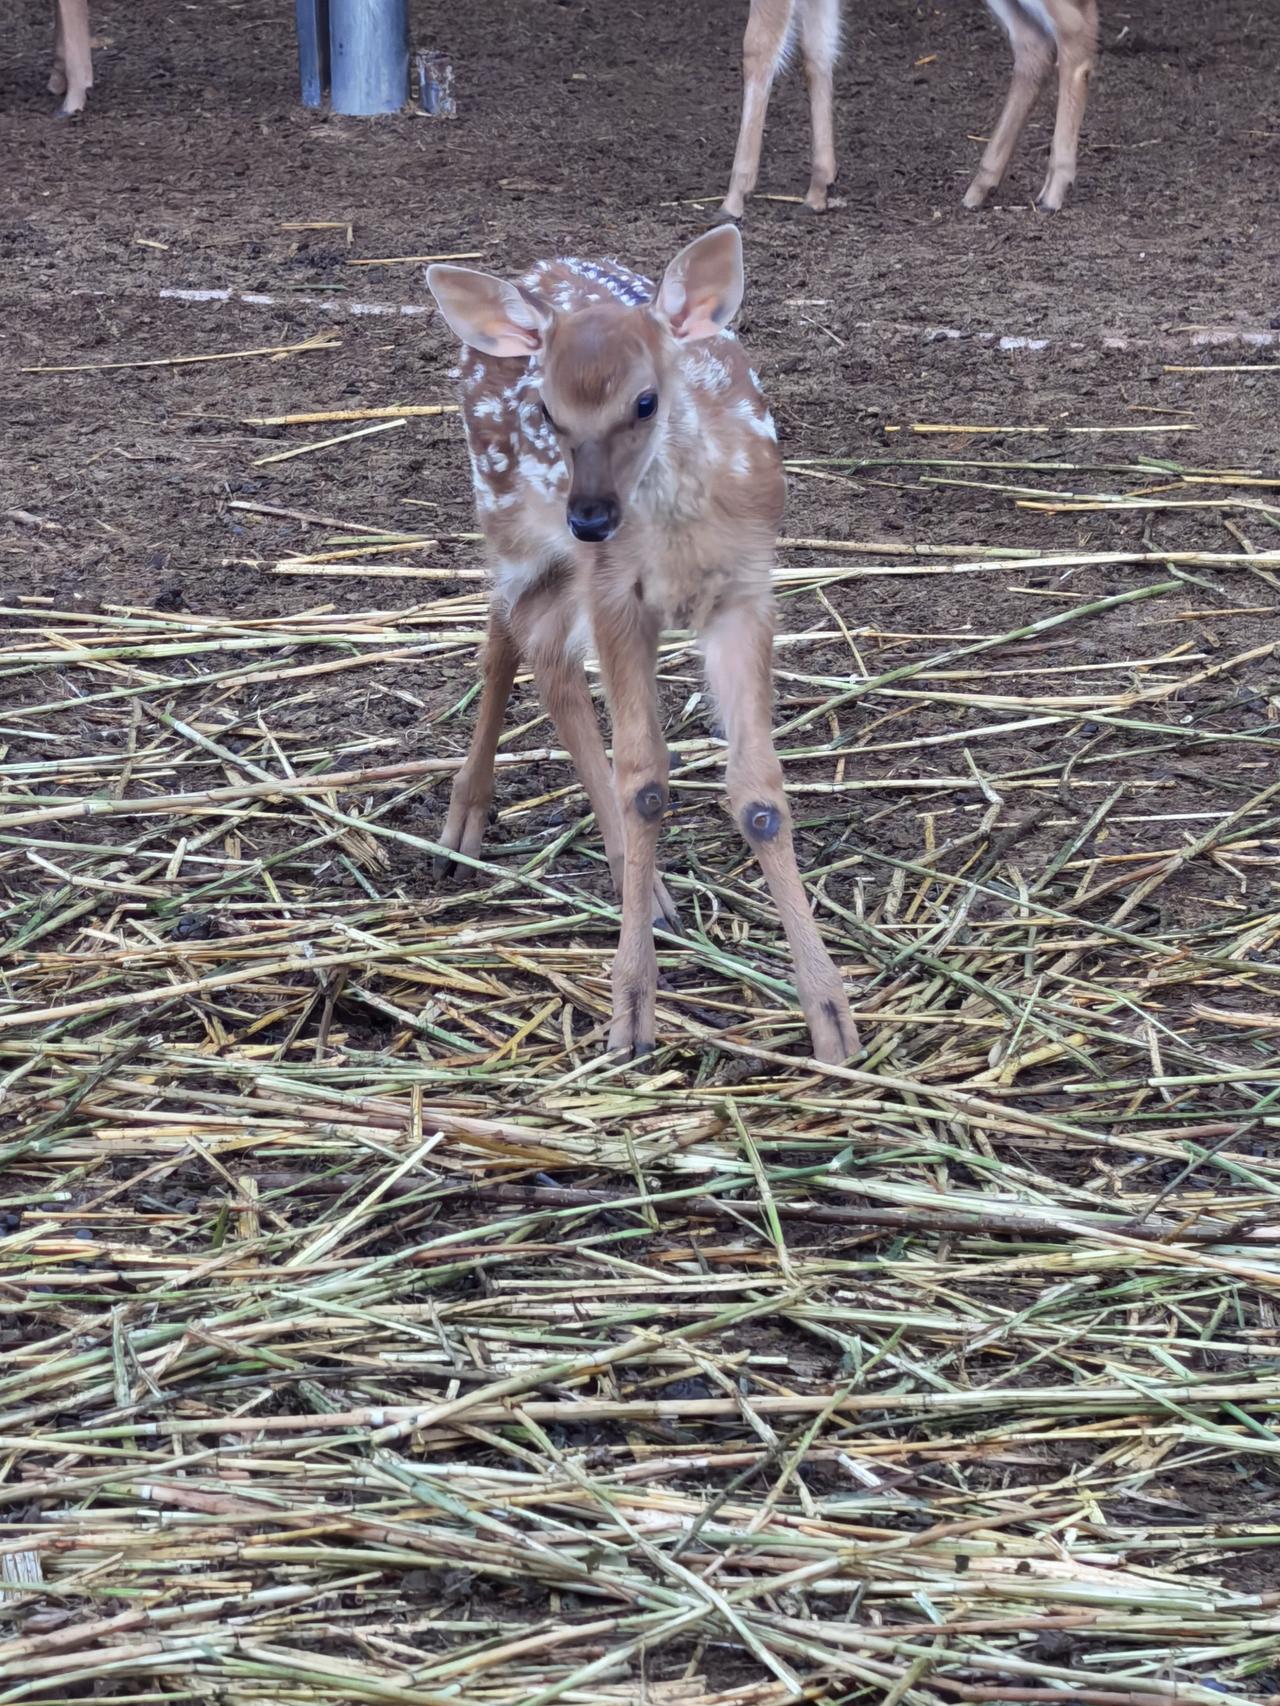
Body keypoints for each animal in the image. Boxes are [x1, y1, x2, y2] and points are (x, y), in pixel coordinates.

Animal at [426, 227, 858, 1065]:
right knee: (523, 639)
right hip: (510, 513)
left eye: (645, 400)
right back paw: (485, 821)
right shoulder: (615, 590)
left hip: (549, 556)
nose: (592, 514)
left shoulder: (746, 590)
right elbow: (644, 782)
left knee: (522, 634)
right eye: (549, 410)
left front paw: (831, 1017)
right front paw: (630, 1008)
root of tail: (537, 272)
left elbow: (761, 794)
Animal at [719, 0, 1099, 220]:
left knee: (1076, 30)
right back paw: (980, 187)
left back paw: (1054, 189)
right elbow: (816, 52)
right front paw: (819, 187)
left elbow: (757, 47)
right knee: (1034, 44)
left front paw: (735, 197)